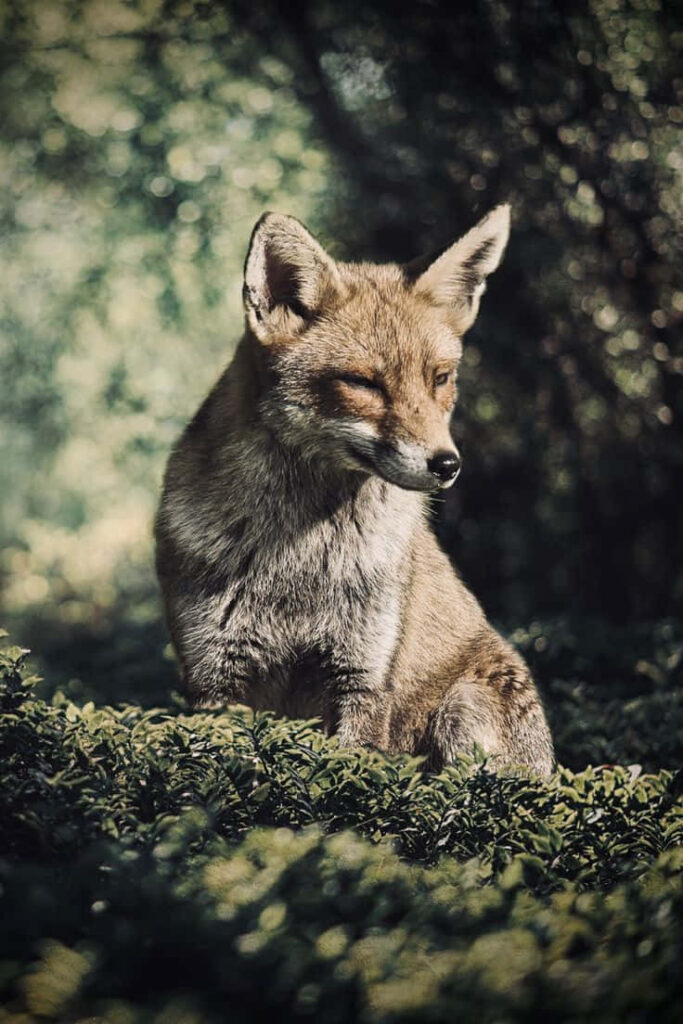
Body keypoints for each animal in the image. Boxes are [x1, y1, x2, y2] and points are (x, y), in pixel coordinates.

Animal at [155, 205, 554, 775]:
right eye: (363, 383)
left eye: (440, 378)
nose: (448, 465)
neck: (299, 563)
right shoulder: (215, 682)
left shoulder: (363, 676)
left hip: (462, 710)